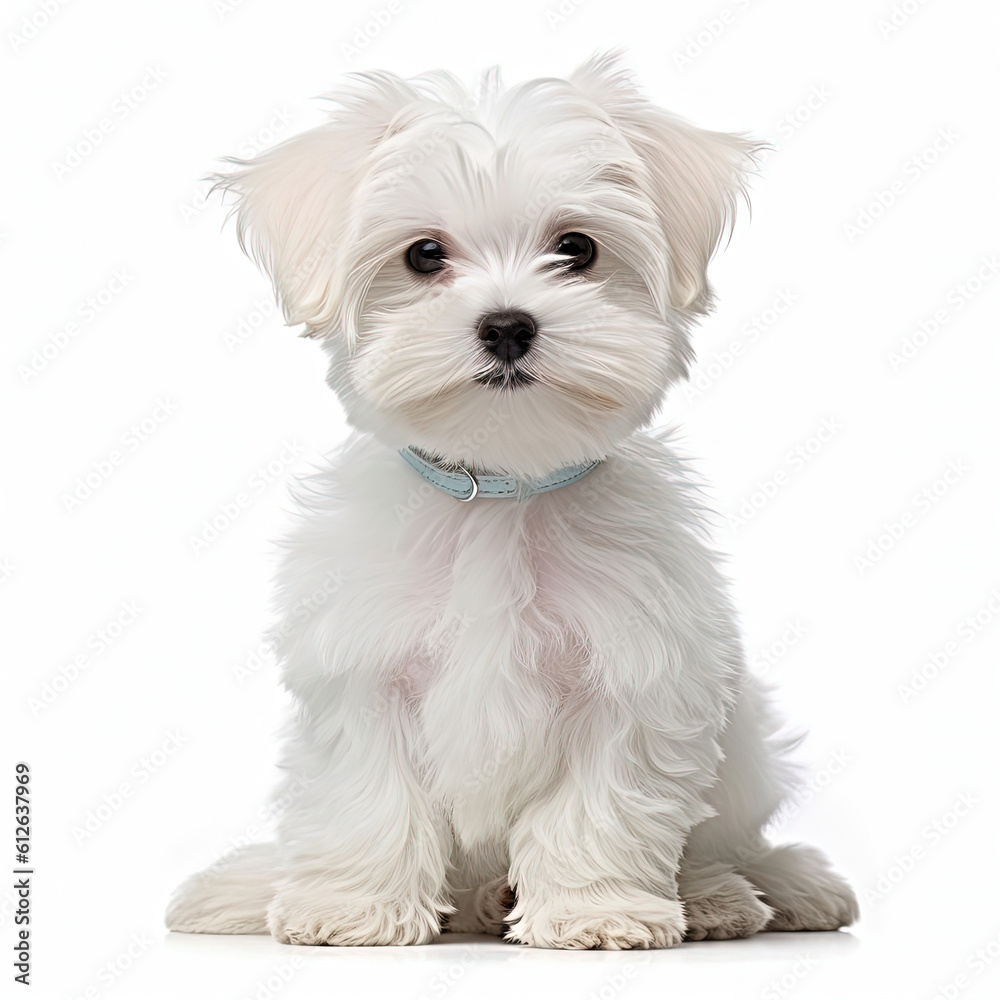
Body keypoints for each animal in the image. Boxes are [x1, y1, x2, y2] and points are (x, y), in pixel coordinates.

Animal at [166, 52, 860, 944]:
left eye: (577, 248)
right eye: (424, 254)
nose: (506, 325)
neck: (498, 489)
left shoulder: (634, 681)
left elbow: (599, 807)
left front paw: (597, 910)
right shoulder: (363, 673)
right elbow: (367, 800)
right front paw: (351, 906)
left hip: (742, 755)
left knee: (724, 841)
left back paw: (729, 894)